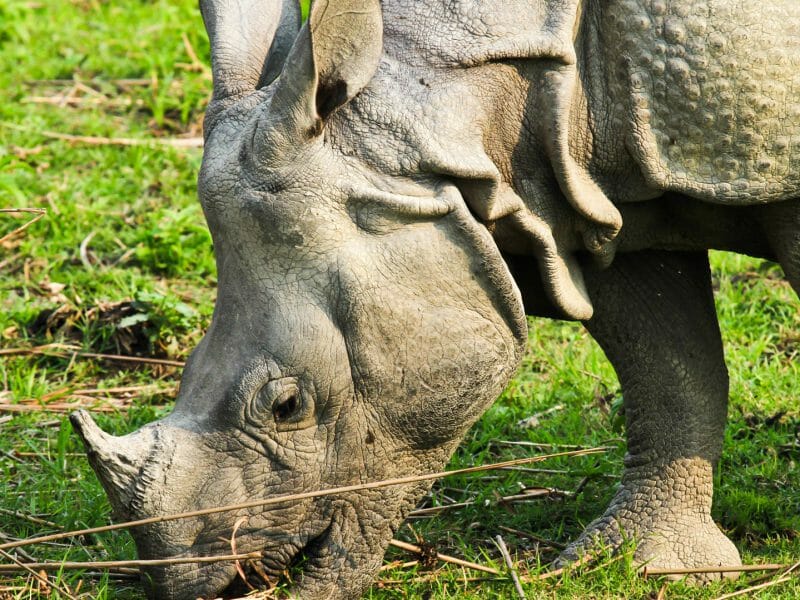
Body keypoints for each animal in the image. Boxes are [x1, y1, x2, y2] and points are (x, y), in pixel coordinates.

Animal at [70, 0, 800, 597]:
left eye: (287, 406)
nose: (191, 586)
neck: (453, 107)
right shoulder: (598, 188)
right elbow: (669, 367)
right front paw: (650, 565)